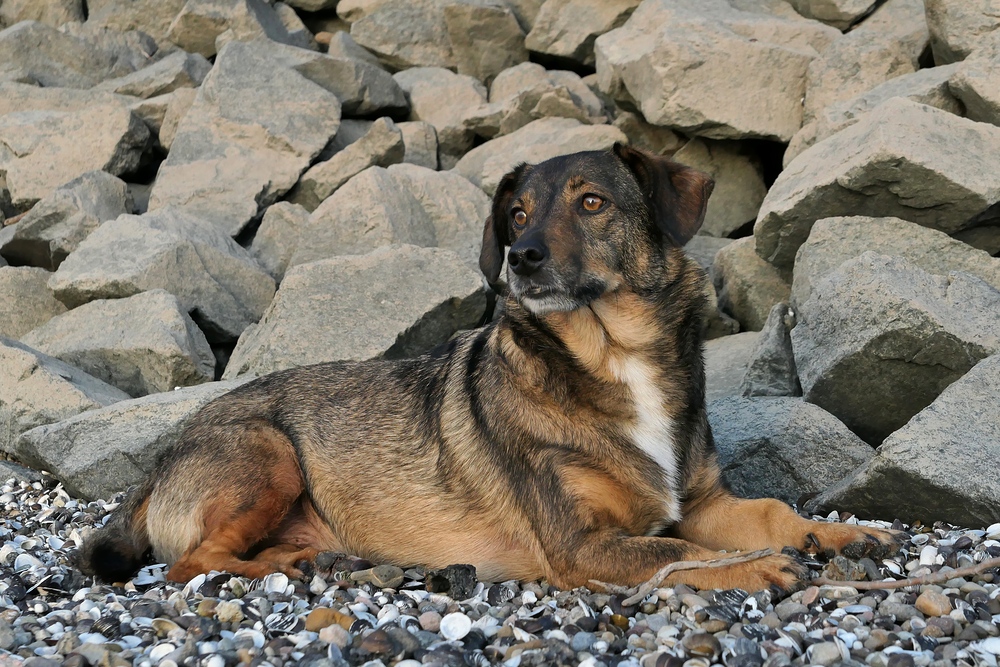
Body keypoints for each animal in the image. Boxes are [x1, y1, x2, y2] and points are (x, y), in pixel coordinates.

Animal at [74, 144, 896, 592]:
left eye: (591, 203)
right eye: (519, 214)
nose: (521, 258)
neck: (611, 357)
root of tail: (163, 455)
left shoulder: (702, 500)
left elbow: (773, 513)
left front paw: (838, 534)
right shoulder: (584, 545)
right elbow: (678, 551)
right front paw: (756, 567)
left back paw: (315, 557)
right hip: (268, 451)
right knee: (190, 562)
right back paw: (268, 571)